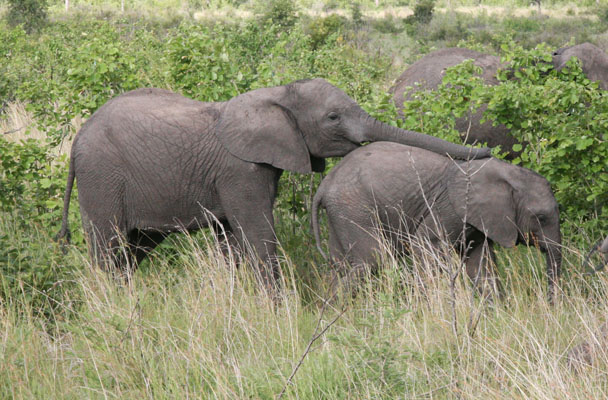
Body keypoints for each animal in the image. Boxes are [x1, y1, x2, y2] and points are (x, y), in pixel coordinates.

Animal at [57, 79, 490, 290]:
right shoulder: (241, 170)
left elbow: (233, 241)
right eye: (333, 117)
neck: (276, 94)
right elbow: (257, 234)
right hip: (102, 177)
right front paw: (281, 311)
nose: (486, 152)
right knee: (108, 245)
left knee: (131, 250)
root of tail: (77, 141)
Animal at [312, 142, 564, 302]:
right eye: (540, 217)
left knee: (341, 266)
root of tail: (323, 186)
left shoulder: (479, 218)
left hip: (341, 212)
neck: (508, 173)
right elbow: (424, 245)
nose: (551, 306)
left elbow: (480, 262)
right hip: (354, 207)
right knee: (373, 260)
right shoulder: (450, 207)